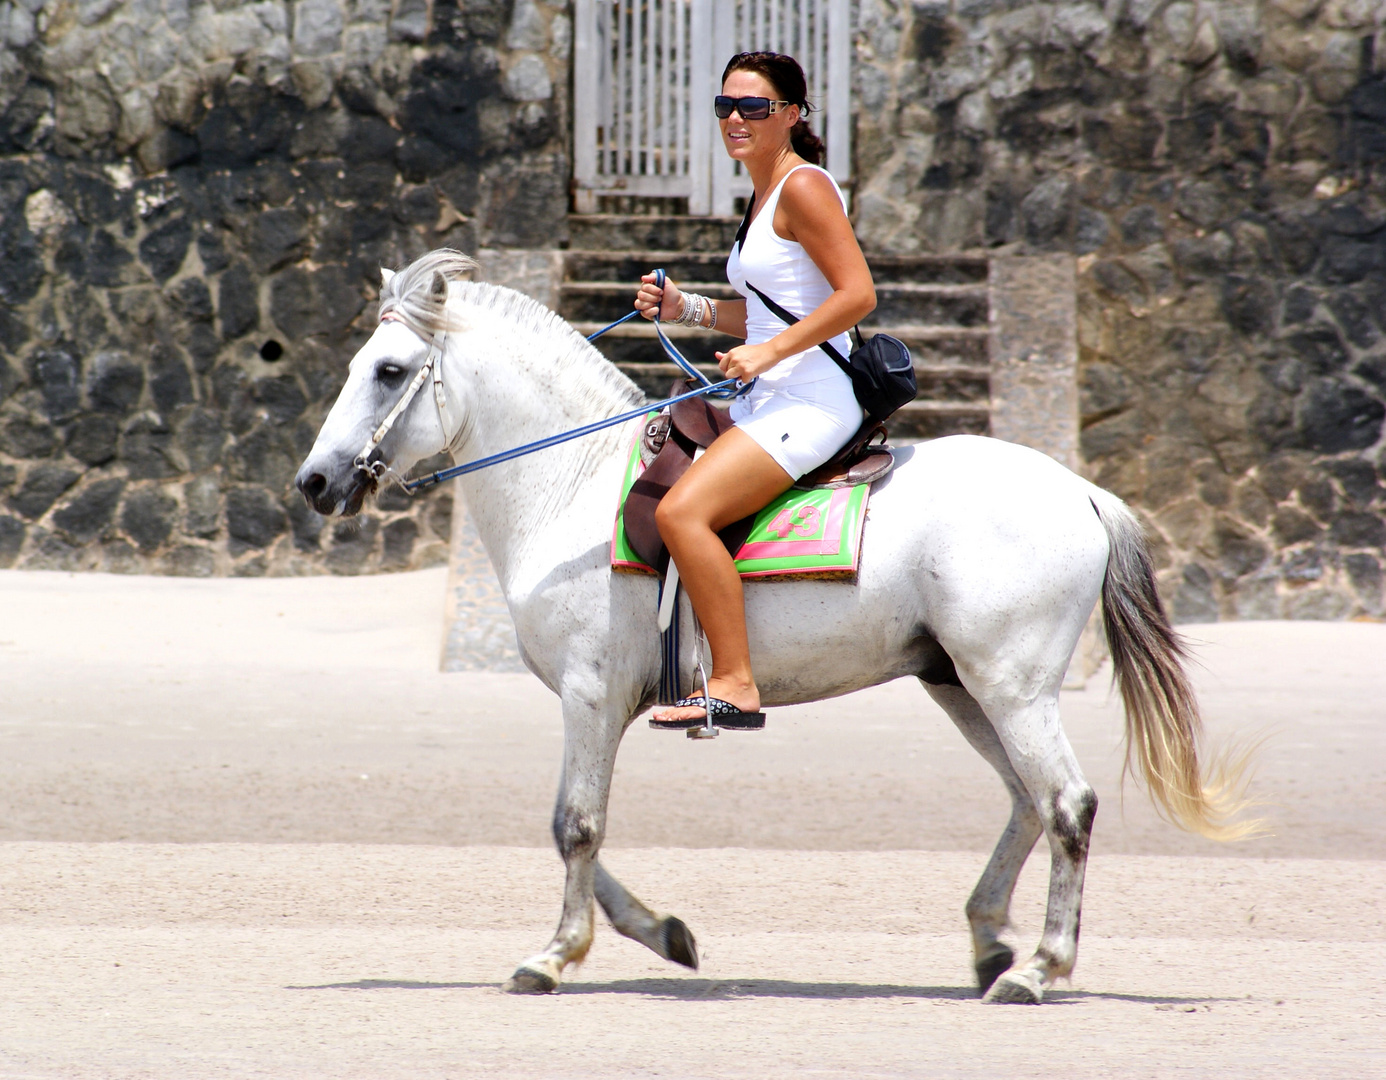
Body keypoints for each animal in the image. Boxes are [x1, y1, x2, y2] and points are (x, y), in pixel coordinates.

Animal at [292, 250, 1247, 1003]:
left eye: (388, 370)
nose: (315, 481)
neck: (573, 486)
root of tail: (1080, 491)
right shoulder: (599, 704)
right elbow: (574, 829)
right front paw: (662, 931)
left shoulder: (590, 695)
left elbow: (576, 824)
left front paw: (554, 957)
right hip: (963, 686)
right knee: (1026, 802)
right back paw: (989, 941)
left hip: (1010, 688)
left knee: (1066, 805)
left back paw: (1040, 968)